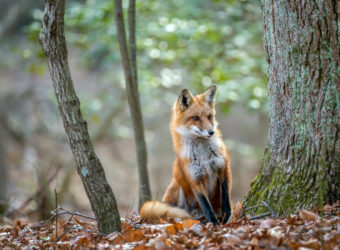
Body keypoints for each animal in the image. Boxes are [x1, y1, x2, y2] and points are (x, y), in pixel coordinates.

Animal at [140, 86, 231, 225]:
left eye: (209, 116)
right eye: (196, 118)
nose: (211, 132)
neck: (204, 156)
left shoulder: (223, 169)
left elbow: (226, 197)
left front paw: (226, 216)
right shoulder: (194, 179)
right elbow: (205, 204)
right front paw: (213, 222)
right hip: (177, 185)